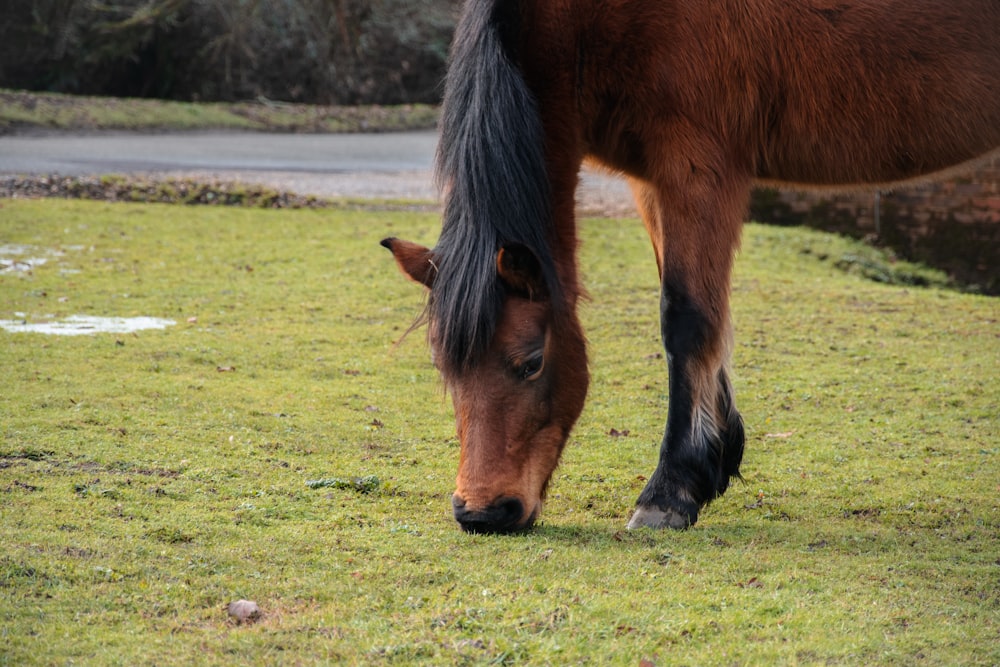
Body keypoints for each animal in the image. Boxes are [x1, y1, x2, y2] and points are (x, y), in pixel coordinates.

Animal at [382, 0, 1000, 532]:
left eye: (531, 363)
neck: (589, 17)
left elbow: (686, 317)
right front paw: (713, 457)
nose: (481, 513)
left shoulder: (698, 165)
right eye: (443, 367)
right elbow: (701, 310)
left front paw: (670, 490)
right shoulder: (652, 181)